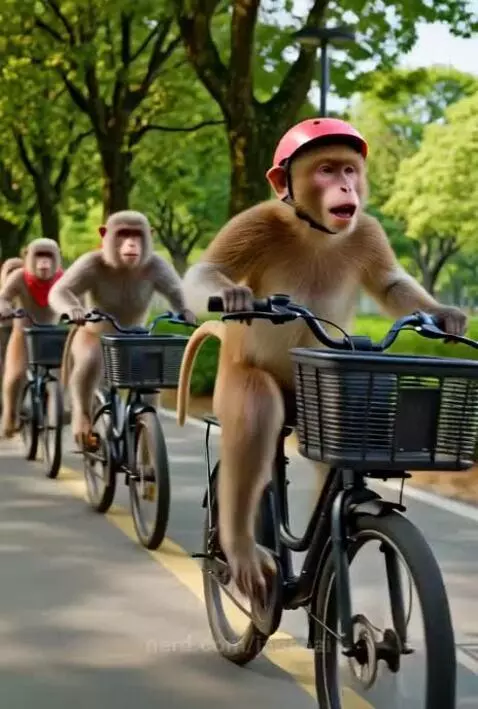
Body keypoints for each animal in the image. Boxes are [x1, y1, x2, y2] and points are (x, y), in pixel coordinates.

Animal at [0, 239, 63, 436]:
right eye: (40, 254)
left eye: (48, 255)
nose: (44, 262)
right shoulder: (18, 277)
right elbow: (5, 297)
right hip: (19, 340)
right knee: (14, 378)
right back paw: (10, 425)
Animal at [48, 210, 196, 448]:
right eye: (124, 233)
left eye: (136, 234)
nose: (131, 244)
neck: (125, 268)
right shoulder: (90, 261)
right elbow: (62, 289)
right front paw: (74, 310)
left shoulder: (157, 263)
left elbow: (175, 291)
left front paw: (186, 313)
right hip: (90, 336)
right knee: (88, 362)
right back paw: (82, 423)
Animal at [175, 117, 467, 599]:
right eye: (327, 170)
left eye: (349, 169)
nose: (346, 186)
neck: (314, 232)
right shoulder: (260, 219)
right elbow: (205, 271)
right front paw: (234, 296)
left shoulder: (366, 229)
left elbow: (390, 283)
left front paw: (443, 315)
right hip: (237, 376)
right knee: (255, 415)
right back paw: (239, 552)